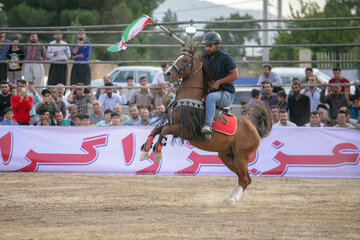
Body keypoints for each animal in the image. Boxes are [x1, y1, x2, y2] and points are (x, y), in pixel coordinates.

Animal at [139, 45, 272, 204]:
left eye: (185, 60)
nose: (167, 73)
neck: (189, 99)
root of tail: (255, 130)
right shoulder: (174, 125)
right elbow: (156, 130)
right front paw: (145, 149)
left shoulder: (184, 129)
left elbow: (163, 129)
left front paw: (158, 150)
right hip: (227, 156)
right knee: (243, 178)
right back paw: (228, 197)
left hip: (241, 156)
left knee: (245, 179)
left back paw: (233, 199)